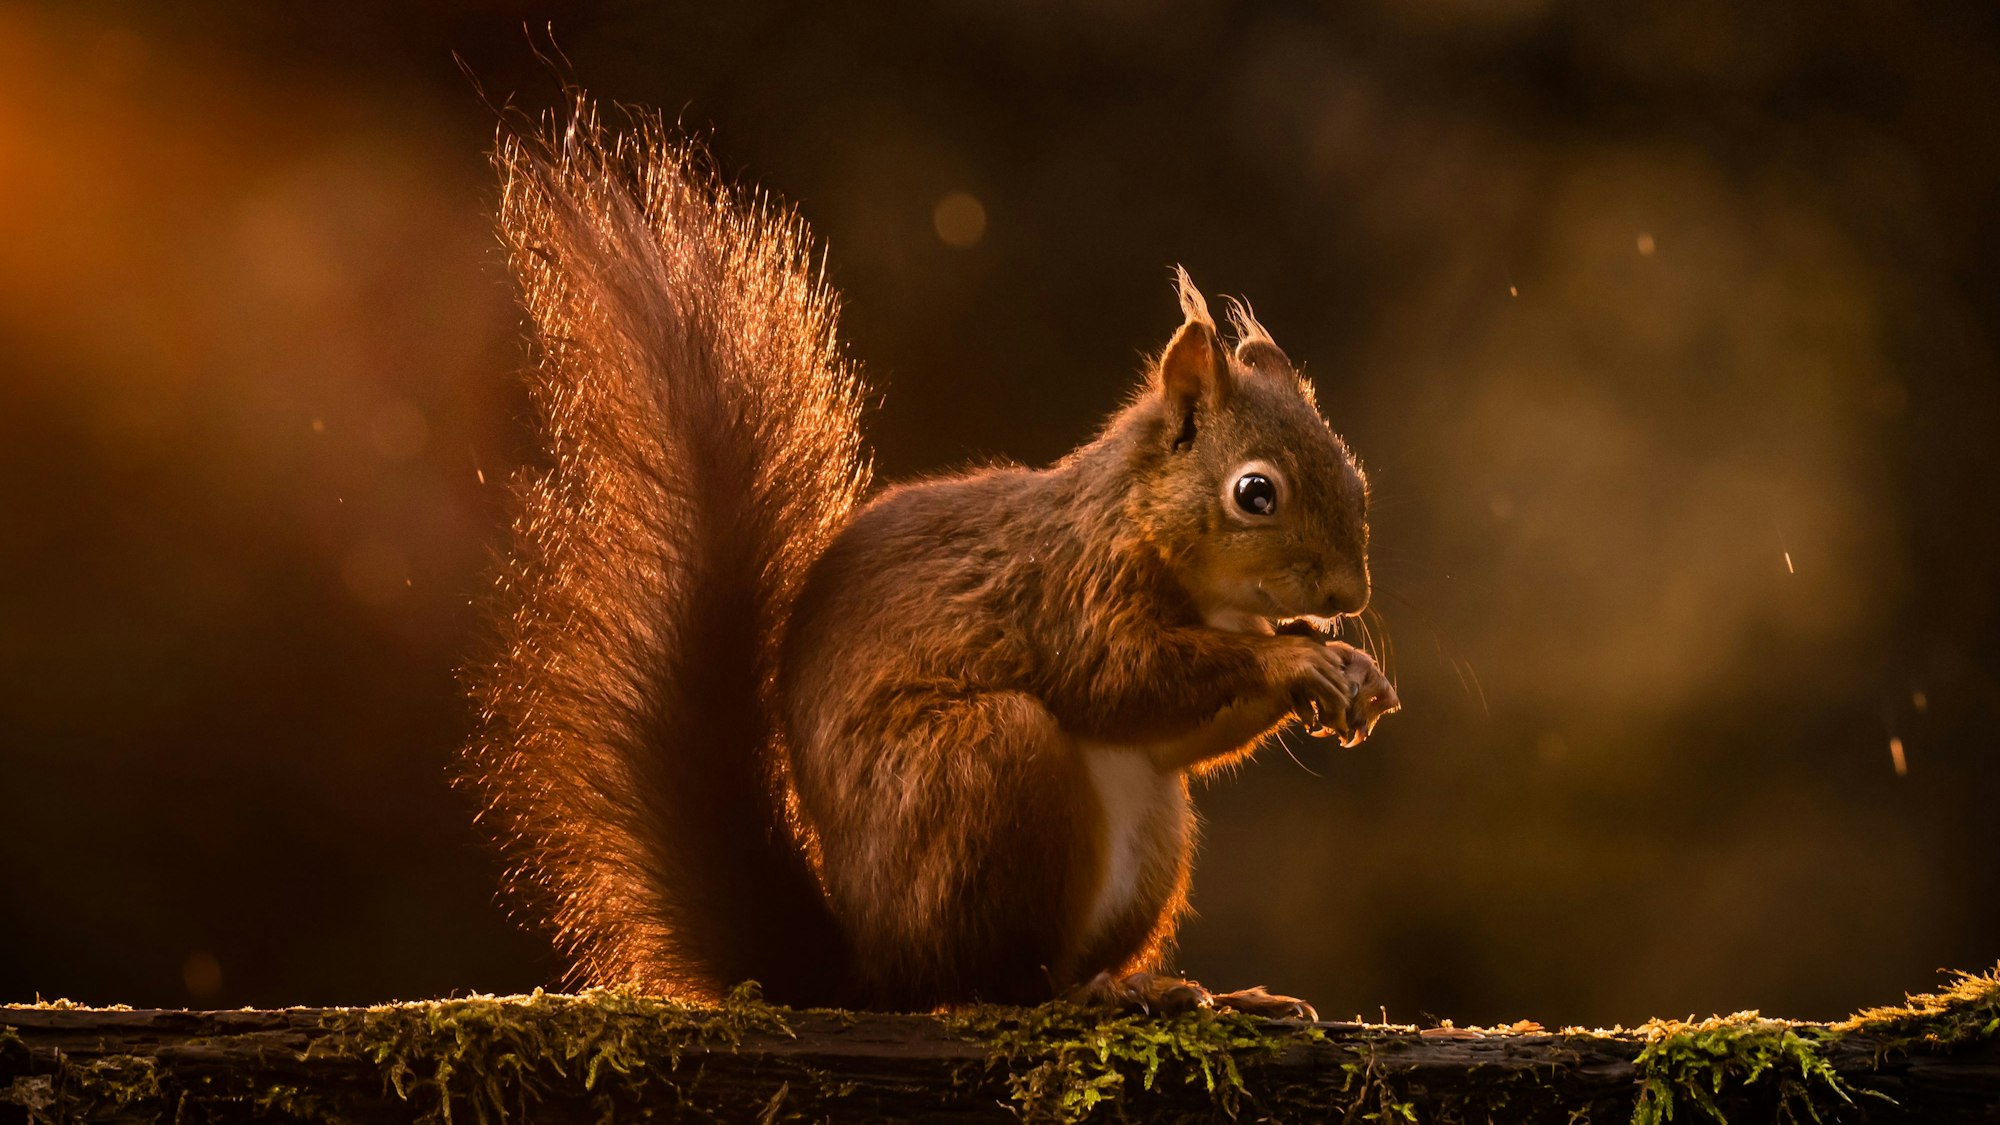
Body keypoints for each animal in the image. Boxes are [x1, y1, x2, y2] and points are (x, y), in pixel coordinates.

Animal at [463, 97, 1400, 1020]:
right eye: (1255, 493)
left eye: (1356, 473)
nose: (1349, 594)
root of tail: (873, 967)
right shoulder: (1073, 589)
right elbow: (1117, 677)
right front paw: (1295, 659)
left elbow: (1177, 737)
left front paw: (1352, 669)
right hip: (983, 769)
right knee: (993, 977)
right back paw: (1101, 994)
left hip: (1148, 831)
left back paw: (1188, 989)